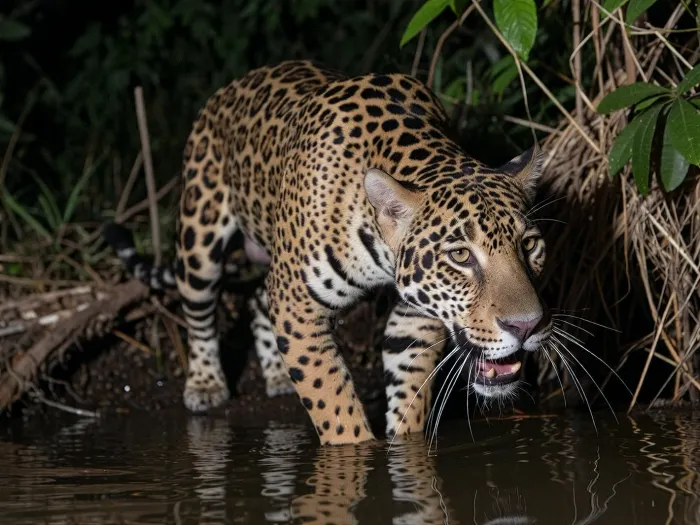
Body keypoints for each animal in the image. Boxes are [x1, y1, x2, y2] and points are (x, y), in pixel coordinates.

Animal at [105, 59, 553, 446]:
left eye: (529, 245)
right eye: (460, 256)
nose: (526, 326)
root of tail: (232, 86)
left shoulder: (416, 315)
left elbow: (408, 392)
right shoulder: (299, 309)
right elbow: (335, 407)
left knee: (256, 298)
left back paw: (275, 374)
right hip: (201, 233)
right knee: (198, 310)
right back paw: (204, 383)